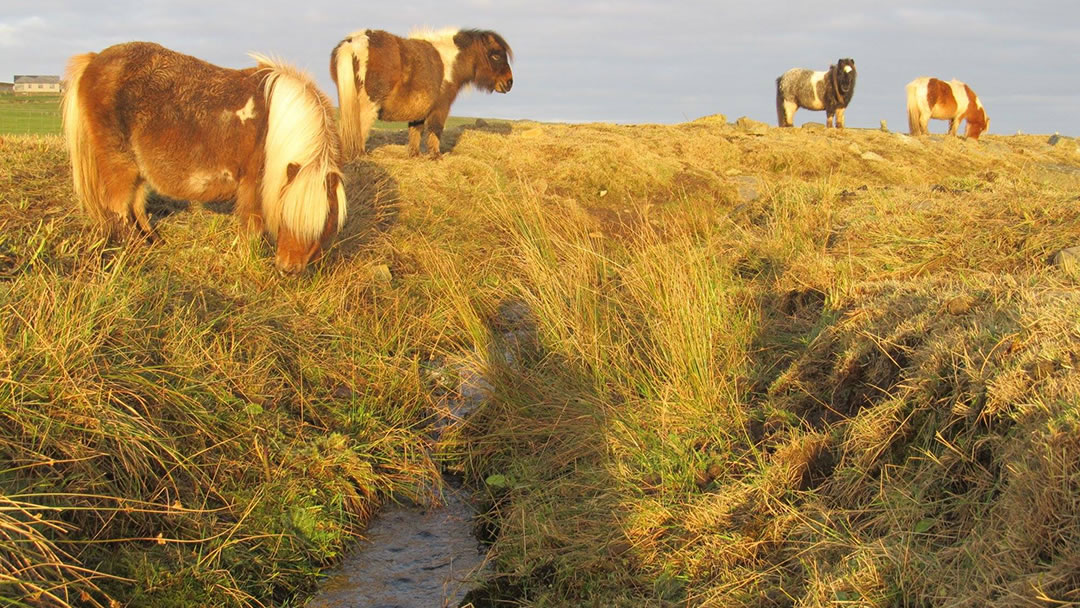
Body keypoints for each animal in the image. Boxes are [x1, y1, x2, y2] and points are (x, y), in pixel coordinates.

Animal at [61, 40, 345, 273]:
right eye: (287, 213)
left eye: (324, 221)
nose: (288, 268)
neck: (273, 125)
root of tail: (94, 59)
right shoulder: (253, 185)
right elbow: (252, 228)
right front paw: (248, 262)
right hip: (120, 163)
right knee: (118, 207)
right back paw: (134, 249)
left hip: (138, 167)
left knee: (136, 206)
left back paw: (153, 243)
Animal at [328, 28, 514, 158]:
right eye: (496, 56)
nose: (509, 83)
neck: (449, 62)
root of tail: (353, 43)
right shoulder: (441, 107)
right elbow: (435, 129)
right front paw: (436, 156)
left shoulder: (418, 110)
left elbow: (415, 132)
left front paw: (415, 155)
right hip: (368, 105)